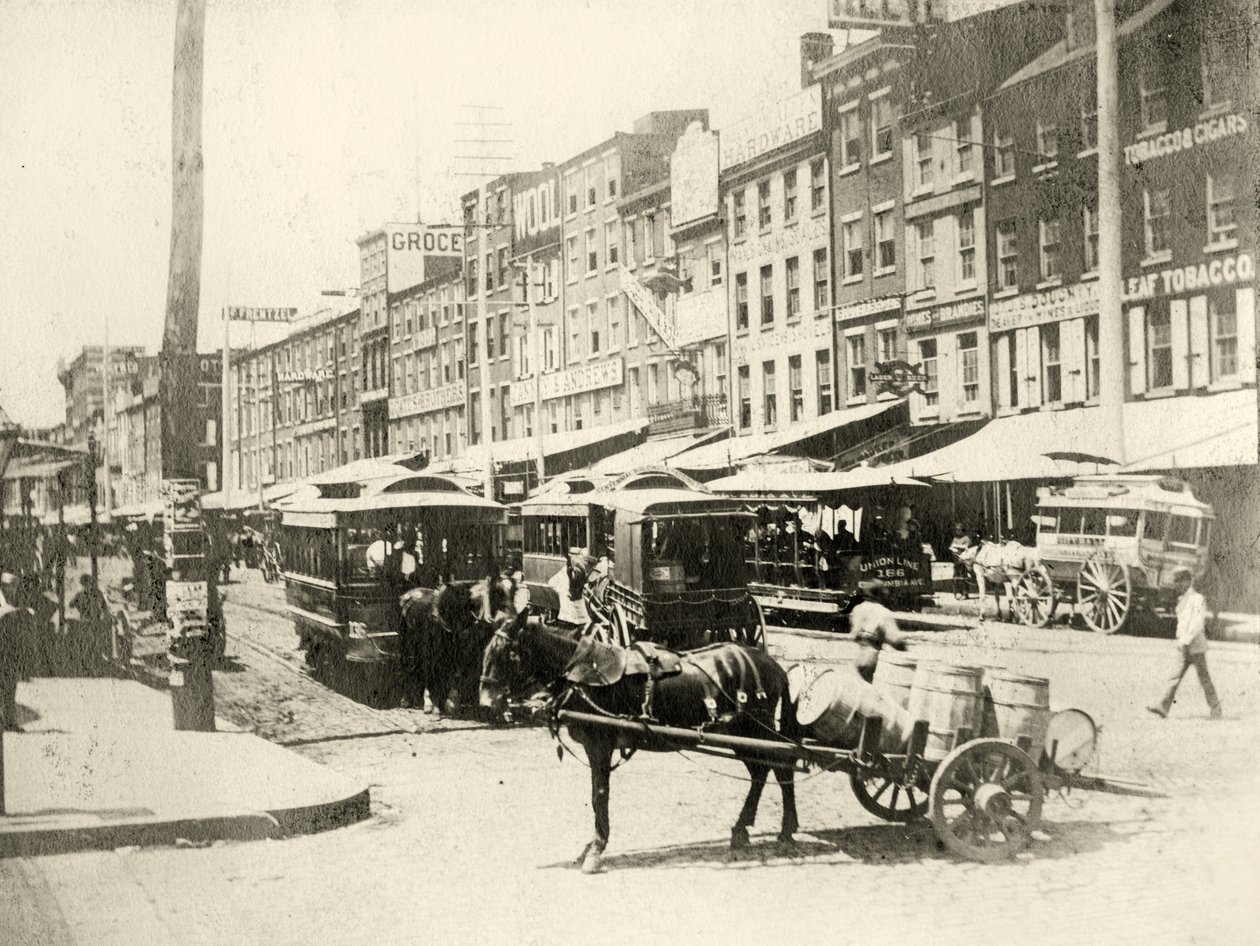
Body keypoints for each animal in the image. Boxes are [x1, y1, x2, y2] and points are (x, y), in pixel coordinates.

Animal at [476, 617, 801, 876]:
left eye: (506, 653)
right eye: (487, 649)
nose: (486, 702)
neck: (582, 674)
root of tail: (772, 664)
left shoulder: (600, 745)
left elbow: (599, 795)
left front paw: (596, 849)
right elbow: (596, 796)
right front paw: (590, 846)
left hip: (755, 728)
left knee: (781, 768)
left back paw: (785, 829)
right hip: (740, 734)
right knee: (761, 772)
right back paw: (743, 829)